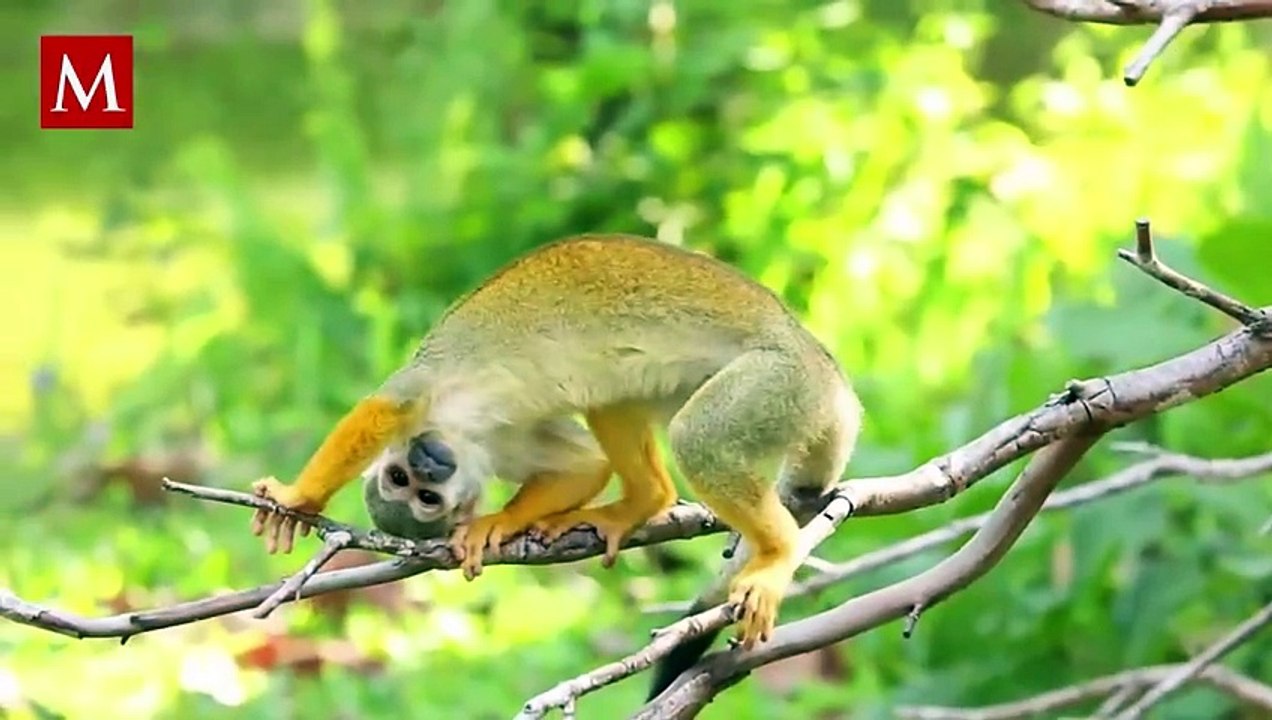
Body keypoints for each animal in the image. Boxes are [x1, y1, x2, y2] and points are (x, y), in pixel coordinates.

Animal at [248, 233, 863, 697]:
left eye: (413, 486)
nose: (427, 464)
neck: (459, 436)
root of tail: (834, 387)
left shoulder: (428, 398)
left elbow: (385, 409)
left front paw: (296, 498)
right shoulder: (494, 449)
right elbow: (582, 466)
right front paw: (497, 524)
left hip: (777, 383)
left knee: (697, 437)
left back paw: (777, 551)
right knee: (615, 399)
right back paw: (646, 501)